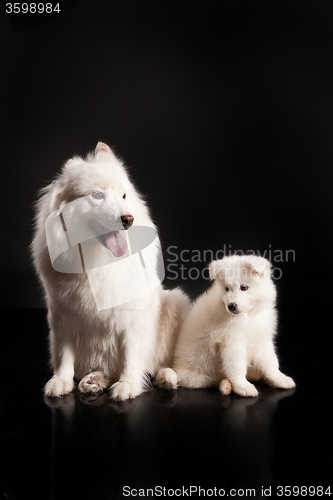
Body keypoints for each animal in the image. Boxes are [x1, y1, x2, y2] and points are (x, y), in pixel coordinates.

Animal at [31, 143, 189, 400]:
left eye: (123, 196)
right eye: (98, 195)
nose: (128, 219)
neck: (98, 260)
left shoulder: (133, 316)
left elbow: (131, 354)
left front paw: (128, 385)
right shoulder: (62, 314)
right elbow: (64, 353)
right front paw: (61, 381)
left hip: (176, 302)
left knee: (161, 362)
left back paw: (166, 378)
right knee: (107, 368)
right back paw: (94, 380)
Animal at [156, 256, 294, 396]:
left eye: (244, 287)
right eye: (226, 289)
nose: (231, 306)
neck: (247, 315)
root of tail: (178, 368)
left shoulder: (260, 338)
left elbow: (270, 361)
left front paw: (279, 378)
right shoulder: (231, 343)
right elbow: (236, 367)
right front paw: (243, 386)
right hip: (199, 375)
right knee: (217, 378)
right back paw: (227, 385)